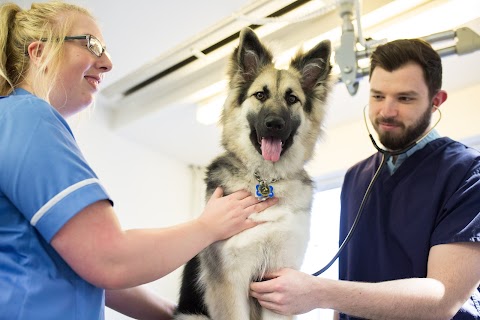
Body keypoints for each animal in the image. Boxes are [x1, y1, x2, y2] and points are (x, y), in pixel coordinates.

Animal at [174, 28, 332, 320]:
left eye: (292, 99)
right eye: (260, 95)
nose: (274, 124)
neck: (266, 181)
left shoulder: (278, 283)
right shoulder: (230, 283)